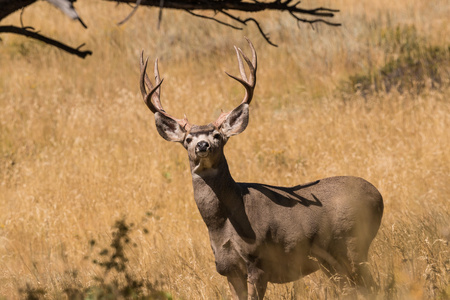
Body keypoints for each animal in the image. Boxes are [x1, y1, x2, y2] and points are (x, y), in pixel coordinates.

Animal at [138, 38, 384, 298]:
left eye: (218, 135)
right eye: (187, 139)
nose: (202, 145)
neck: (223, 225)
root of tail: (378, 196)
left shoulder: (258, 263)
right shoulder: (228, 269)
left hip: (353, 244)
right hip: (332, 261)